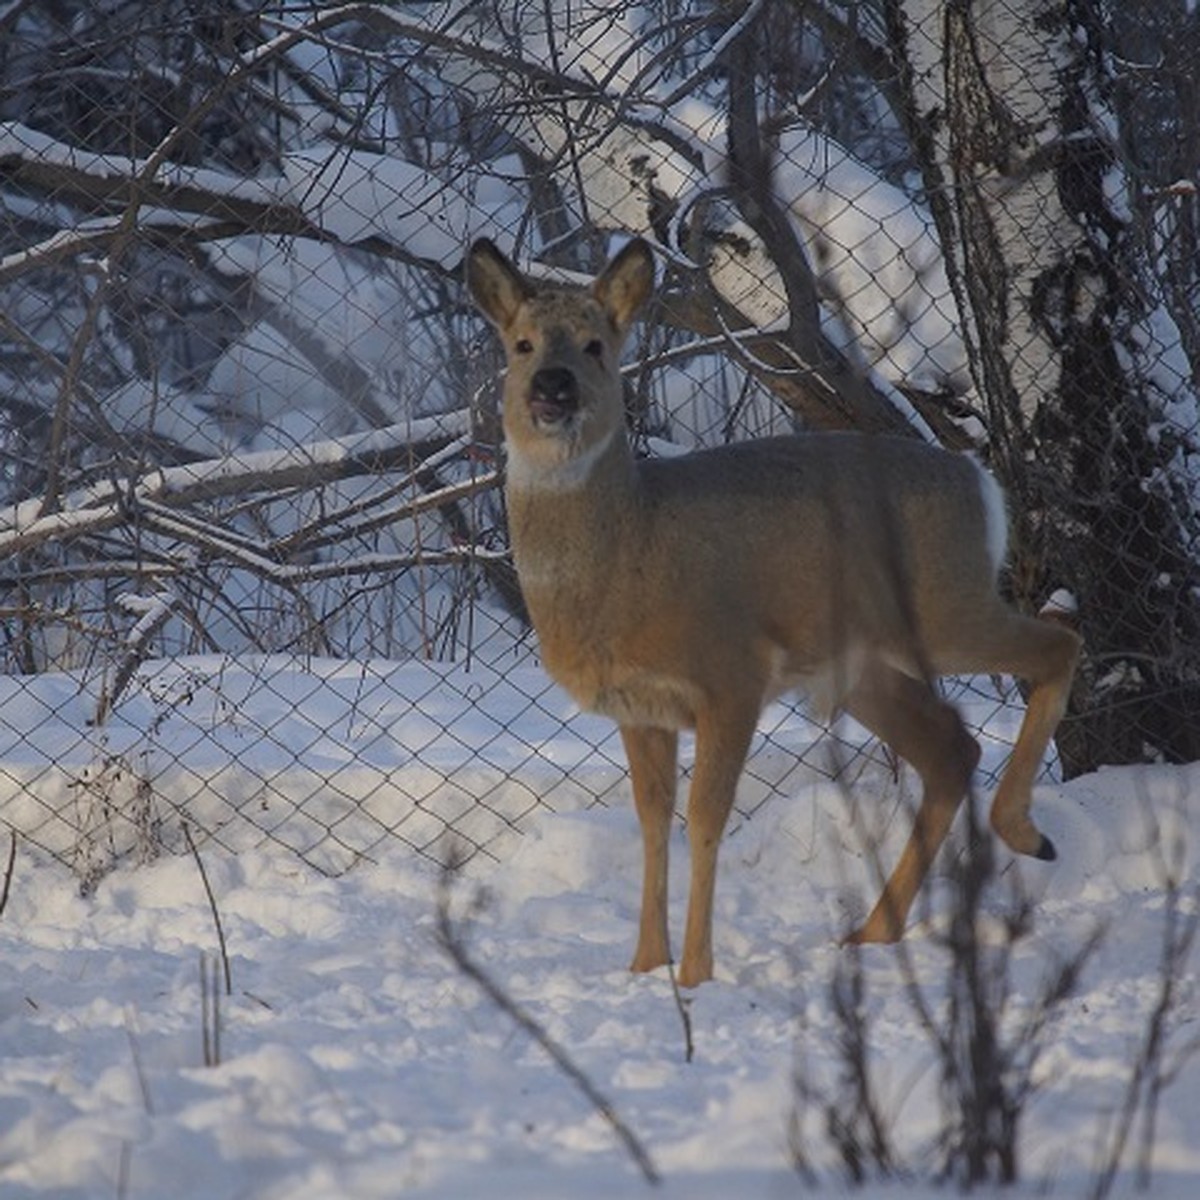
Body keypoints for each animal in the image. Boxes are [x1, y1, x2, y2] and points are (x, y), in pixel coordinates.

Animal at [465, 238, 1080, 988]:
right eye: (521, 344)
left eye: (595, 346)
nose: (553, 386)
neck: (629, 552)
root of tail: (982, 483)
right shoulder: (640, 707)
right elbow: (650, 820)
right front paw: (643, 965)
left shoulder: (732, 674)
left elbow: (704, 817)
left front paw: (694, 972)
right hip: (864, 665)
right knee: (952, 747)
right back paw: (872, 930)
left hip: (945, 605)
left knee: (1058, 643)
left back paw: (1022, 831)